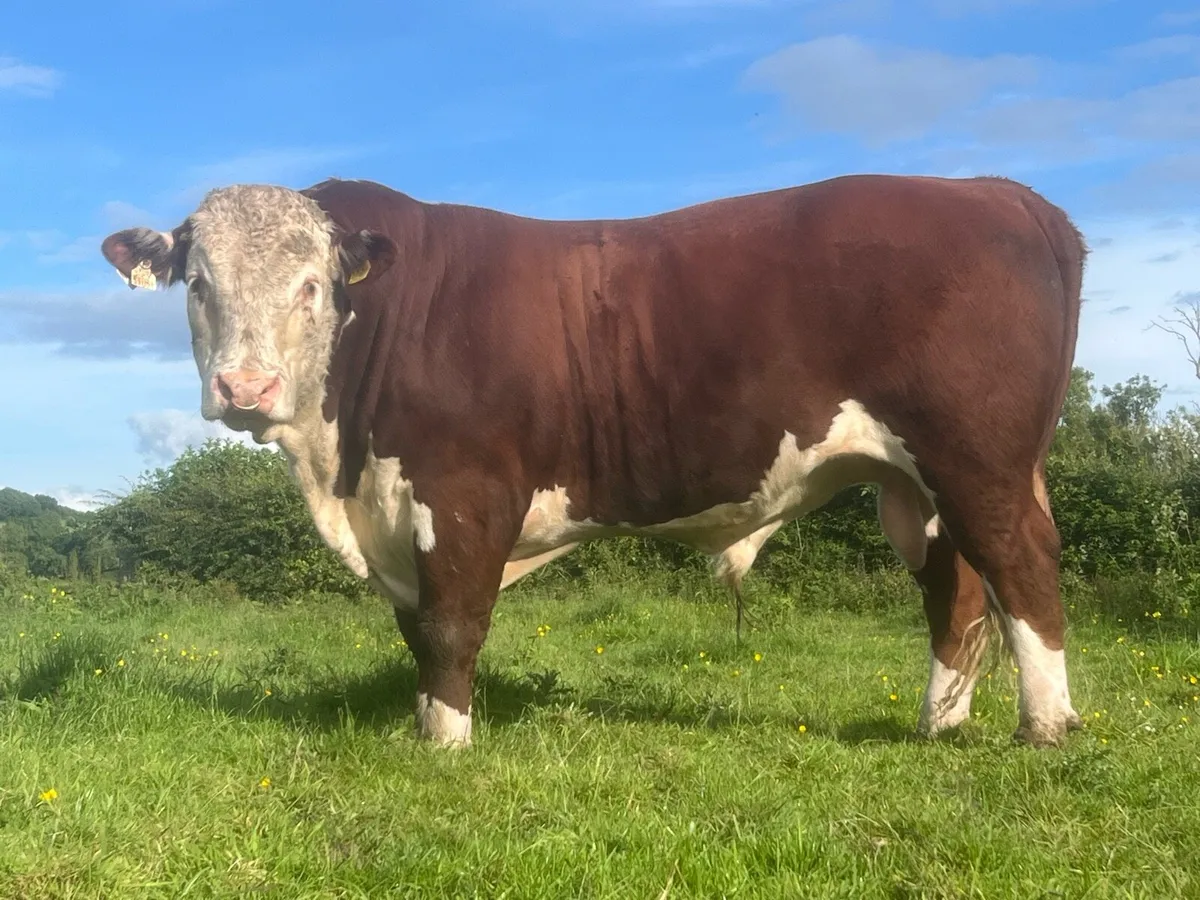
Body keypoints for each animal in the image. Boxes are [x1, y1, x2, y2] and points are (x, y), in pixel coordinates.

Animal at [100, 173, 1087, 749]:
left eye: (311, 285)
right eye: (199, 283)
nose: (246, 387)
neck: (337, 467)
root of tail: (996, 191)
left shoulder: (462, 491)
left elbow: (451, 625)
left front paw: (446, 746)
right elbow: (417, 629)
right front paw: (424, 725)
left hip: (978, 459)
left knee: (1024, 569)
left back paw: (1046, 729)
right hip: (912, 482)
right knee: (956, 593)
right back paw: (938, 727)